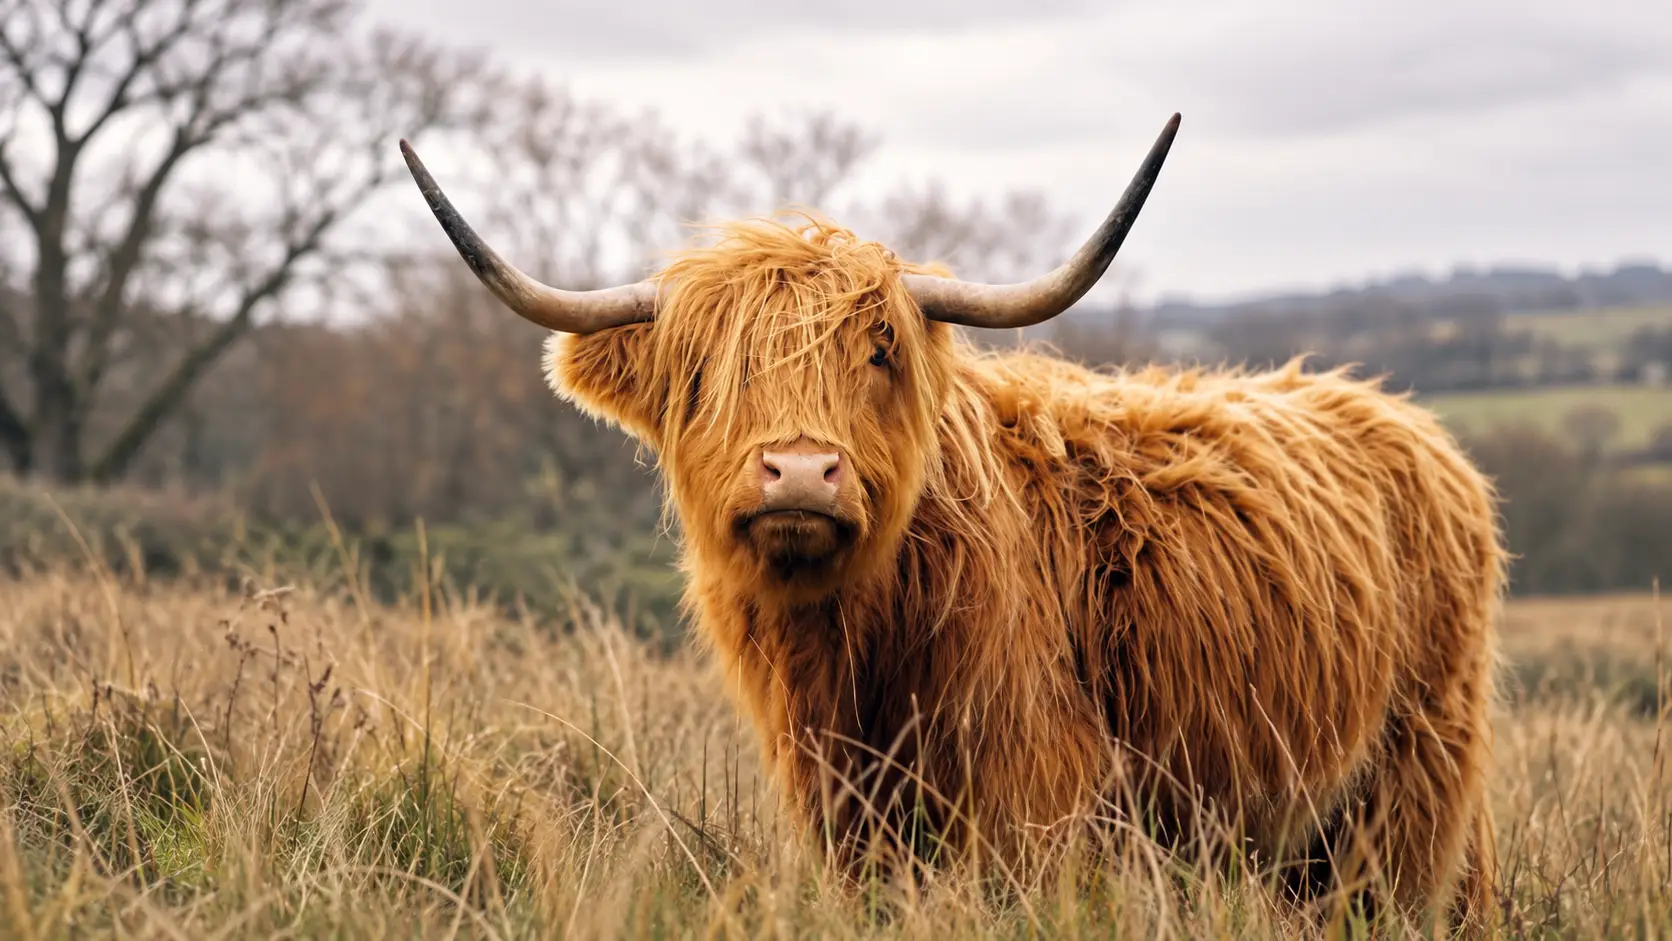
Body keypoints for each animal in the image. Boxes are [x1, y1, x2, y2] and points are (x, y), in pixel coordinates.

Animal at [398, 113, 1505, 931]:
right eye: (708, 369)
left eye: (880, 348)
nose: (801, 469)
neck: (859, 640)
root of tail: (1399, 415)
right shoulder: (841, 811)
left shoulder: (1033, 796)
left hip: (1414, 788)